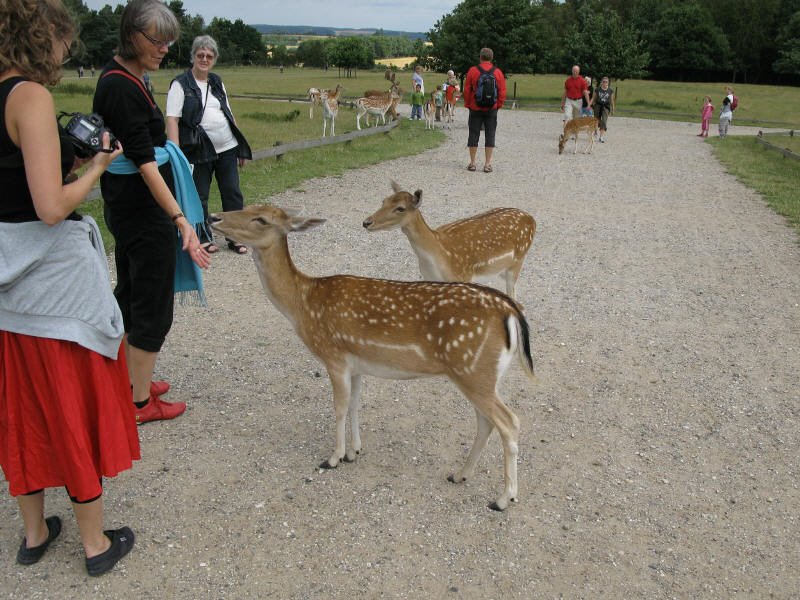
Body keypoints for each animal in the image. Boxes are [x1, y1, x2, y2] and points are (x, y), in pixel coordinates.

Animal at [209, 204, 536, 508]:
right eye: (248, 207)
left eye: (261, 219)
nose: (213, 217)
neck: (302, 305)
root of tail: (510, 311)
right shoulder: (356, 364)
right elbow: (355, 404)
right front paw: (354, 452)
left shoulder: (334, 356)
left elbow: (339, 408)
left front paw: (333, 458)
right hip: (484, 375)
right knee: (486, 422)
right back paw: (460, 474)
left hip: (472, 371)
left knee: (509, 422)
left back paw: (503, 498)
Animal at [362, 179, 536, 298]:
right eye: (383, 201)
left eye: (400, 208)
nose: (366, 222)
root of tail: (532, 219)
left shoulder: (463, 277)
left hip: (518, 261)